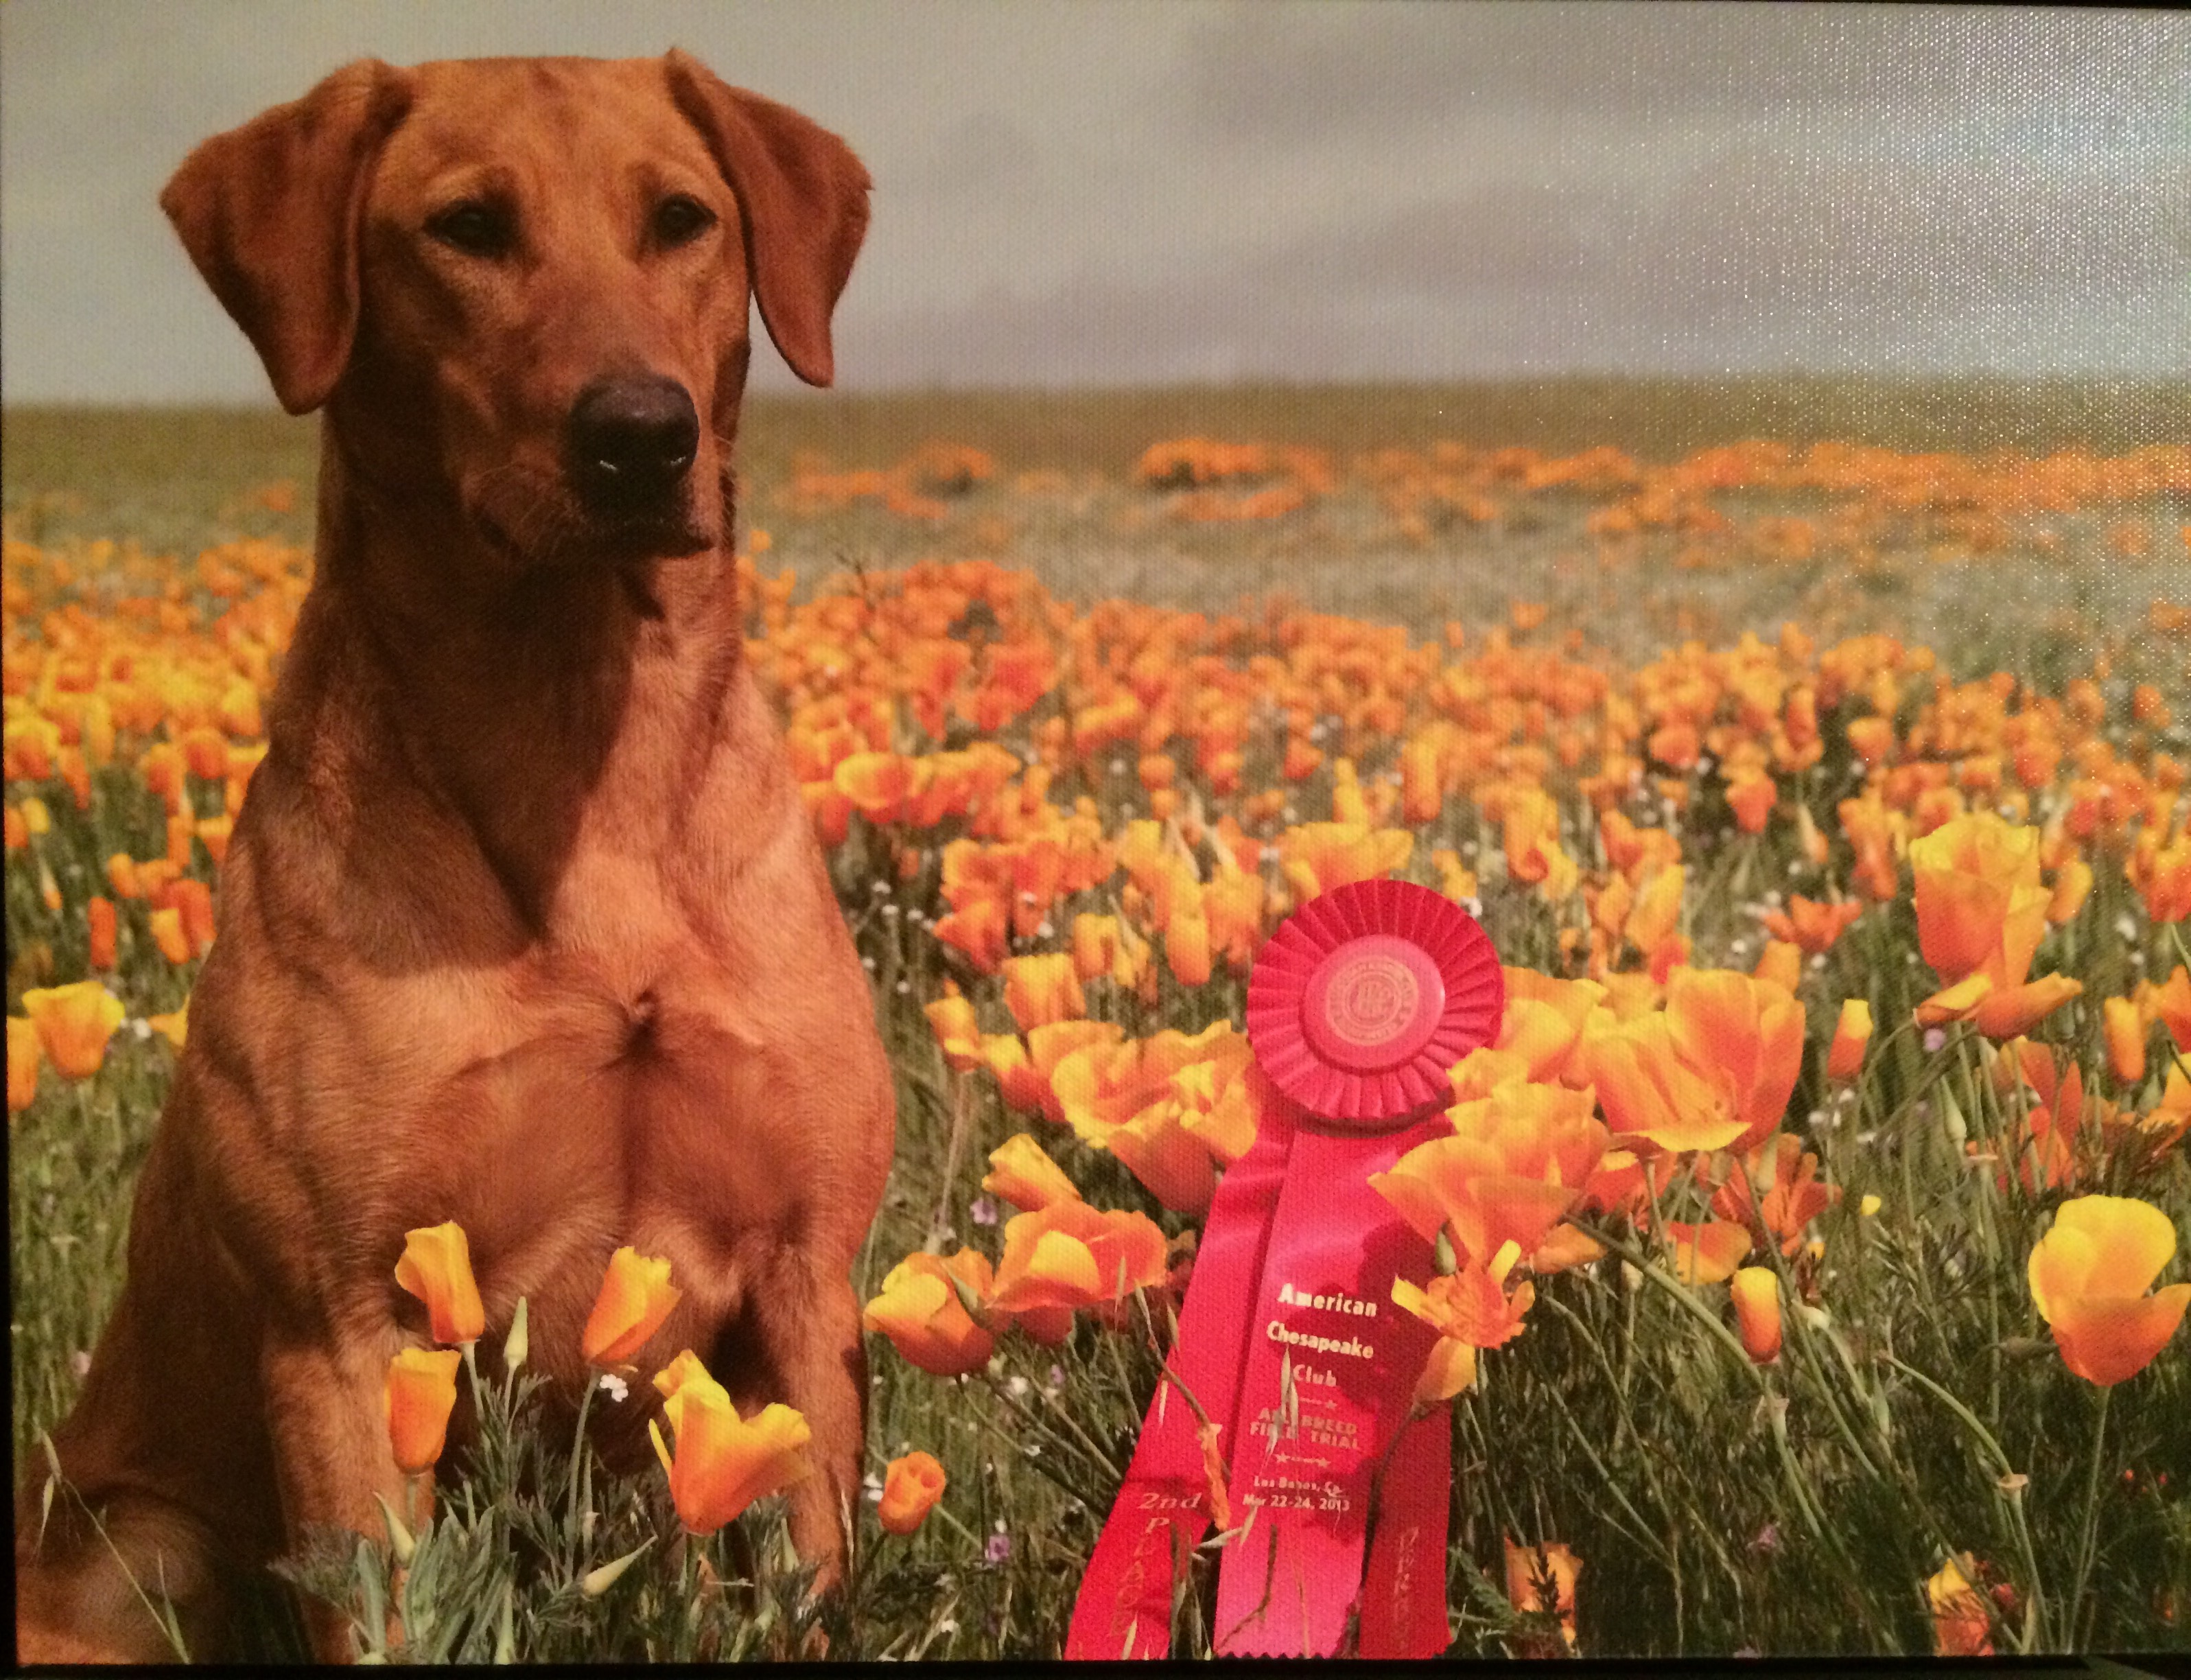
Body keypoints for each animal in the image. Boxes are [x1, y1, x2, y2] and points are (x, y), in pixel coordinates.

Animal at [14, 52, 889, 1664]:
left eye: (682, 220)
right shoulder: (349, 1328)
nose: (640, 433)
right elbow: (386, 1609)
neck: (577, 737)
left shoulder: (804, 1283)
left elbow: (806, 1568)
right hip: (139, 1548)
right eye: (468, 229)